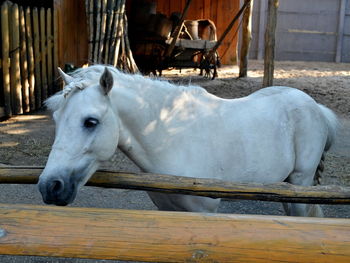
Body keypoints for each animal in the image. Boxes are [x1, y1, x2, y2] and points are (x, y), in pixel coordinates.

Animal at [37, 65, 336, 217]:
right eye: (57, 119)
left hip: (300, 182)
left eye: (90, 122)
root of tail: (315, 107)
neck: (173, 139)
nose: (50, 186)